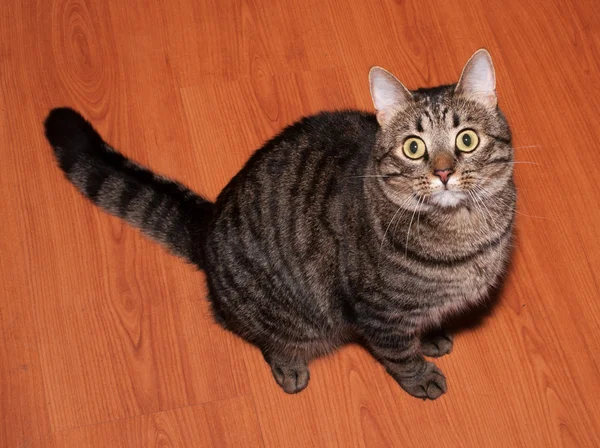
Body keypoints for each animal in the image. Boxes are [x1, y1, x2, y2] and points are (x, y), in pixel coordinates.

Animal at [45, 48, 516, 400]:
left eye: (467, 139)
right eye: (414, 147)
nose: (443, 172)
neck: (466, 234)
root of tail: (208, 221)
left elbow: (425, 320)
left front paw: (433, 334)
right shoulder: (376, 312)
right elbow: (399, 353)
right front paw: (421, 375)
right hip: (285, 315)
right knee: (265, 339)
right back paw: (288, 367)